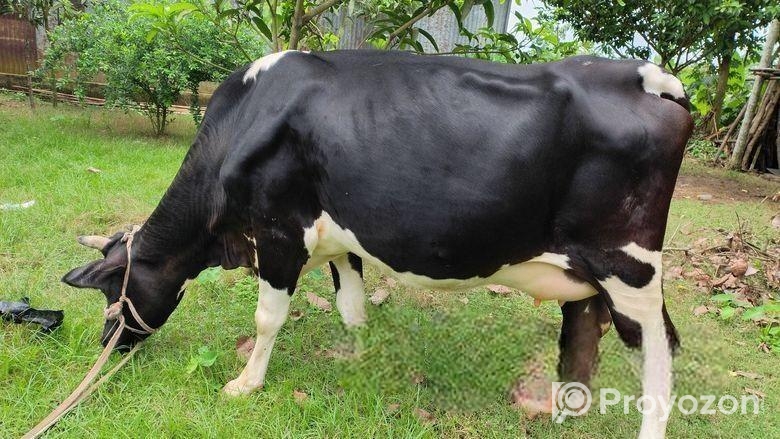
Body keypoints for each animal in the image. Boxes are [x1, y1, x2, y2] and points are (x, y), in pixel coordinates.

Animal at [62, 50, 692, 438]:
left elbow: (269, 317)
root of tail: (649, 79)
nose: (106, 346)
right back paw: (563, 414)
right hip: (589, 272)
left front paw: (245, 384)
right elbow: (352, 308)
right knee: (583, 333)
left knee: (658, 350)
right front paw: (358, 363)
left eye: (112, 297)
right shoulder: (339, 241)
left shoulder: (279, 232)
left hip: (628, 266)